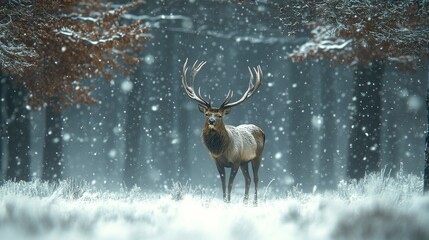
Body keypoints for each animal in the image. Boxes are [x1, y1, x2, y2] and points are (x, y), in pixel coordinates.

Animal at [181, 59, 264, 205]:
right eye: (207, 114)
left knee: (256, 178)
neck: (222, 150)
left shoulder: (235, 161)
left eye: (220, 115)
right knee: (248, 179)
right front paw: (225, 200)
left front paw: (228, 202)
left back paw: (254, 203)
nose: (211, 121)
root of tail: (261, 130)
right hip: (244, 162)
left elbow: (230, 184)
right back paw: (244, 202)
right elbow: (223, 184)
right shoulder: (218, 162)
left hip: (257, 157)